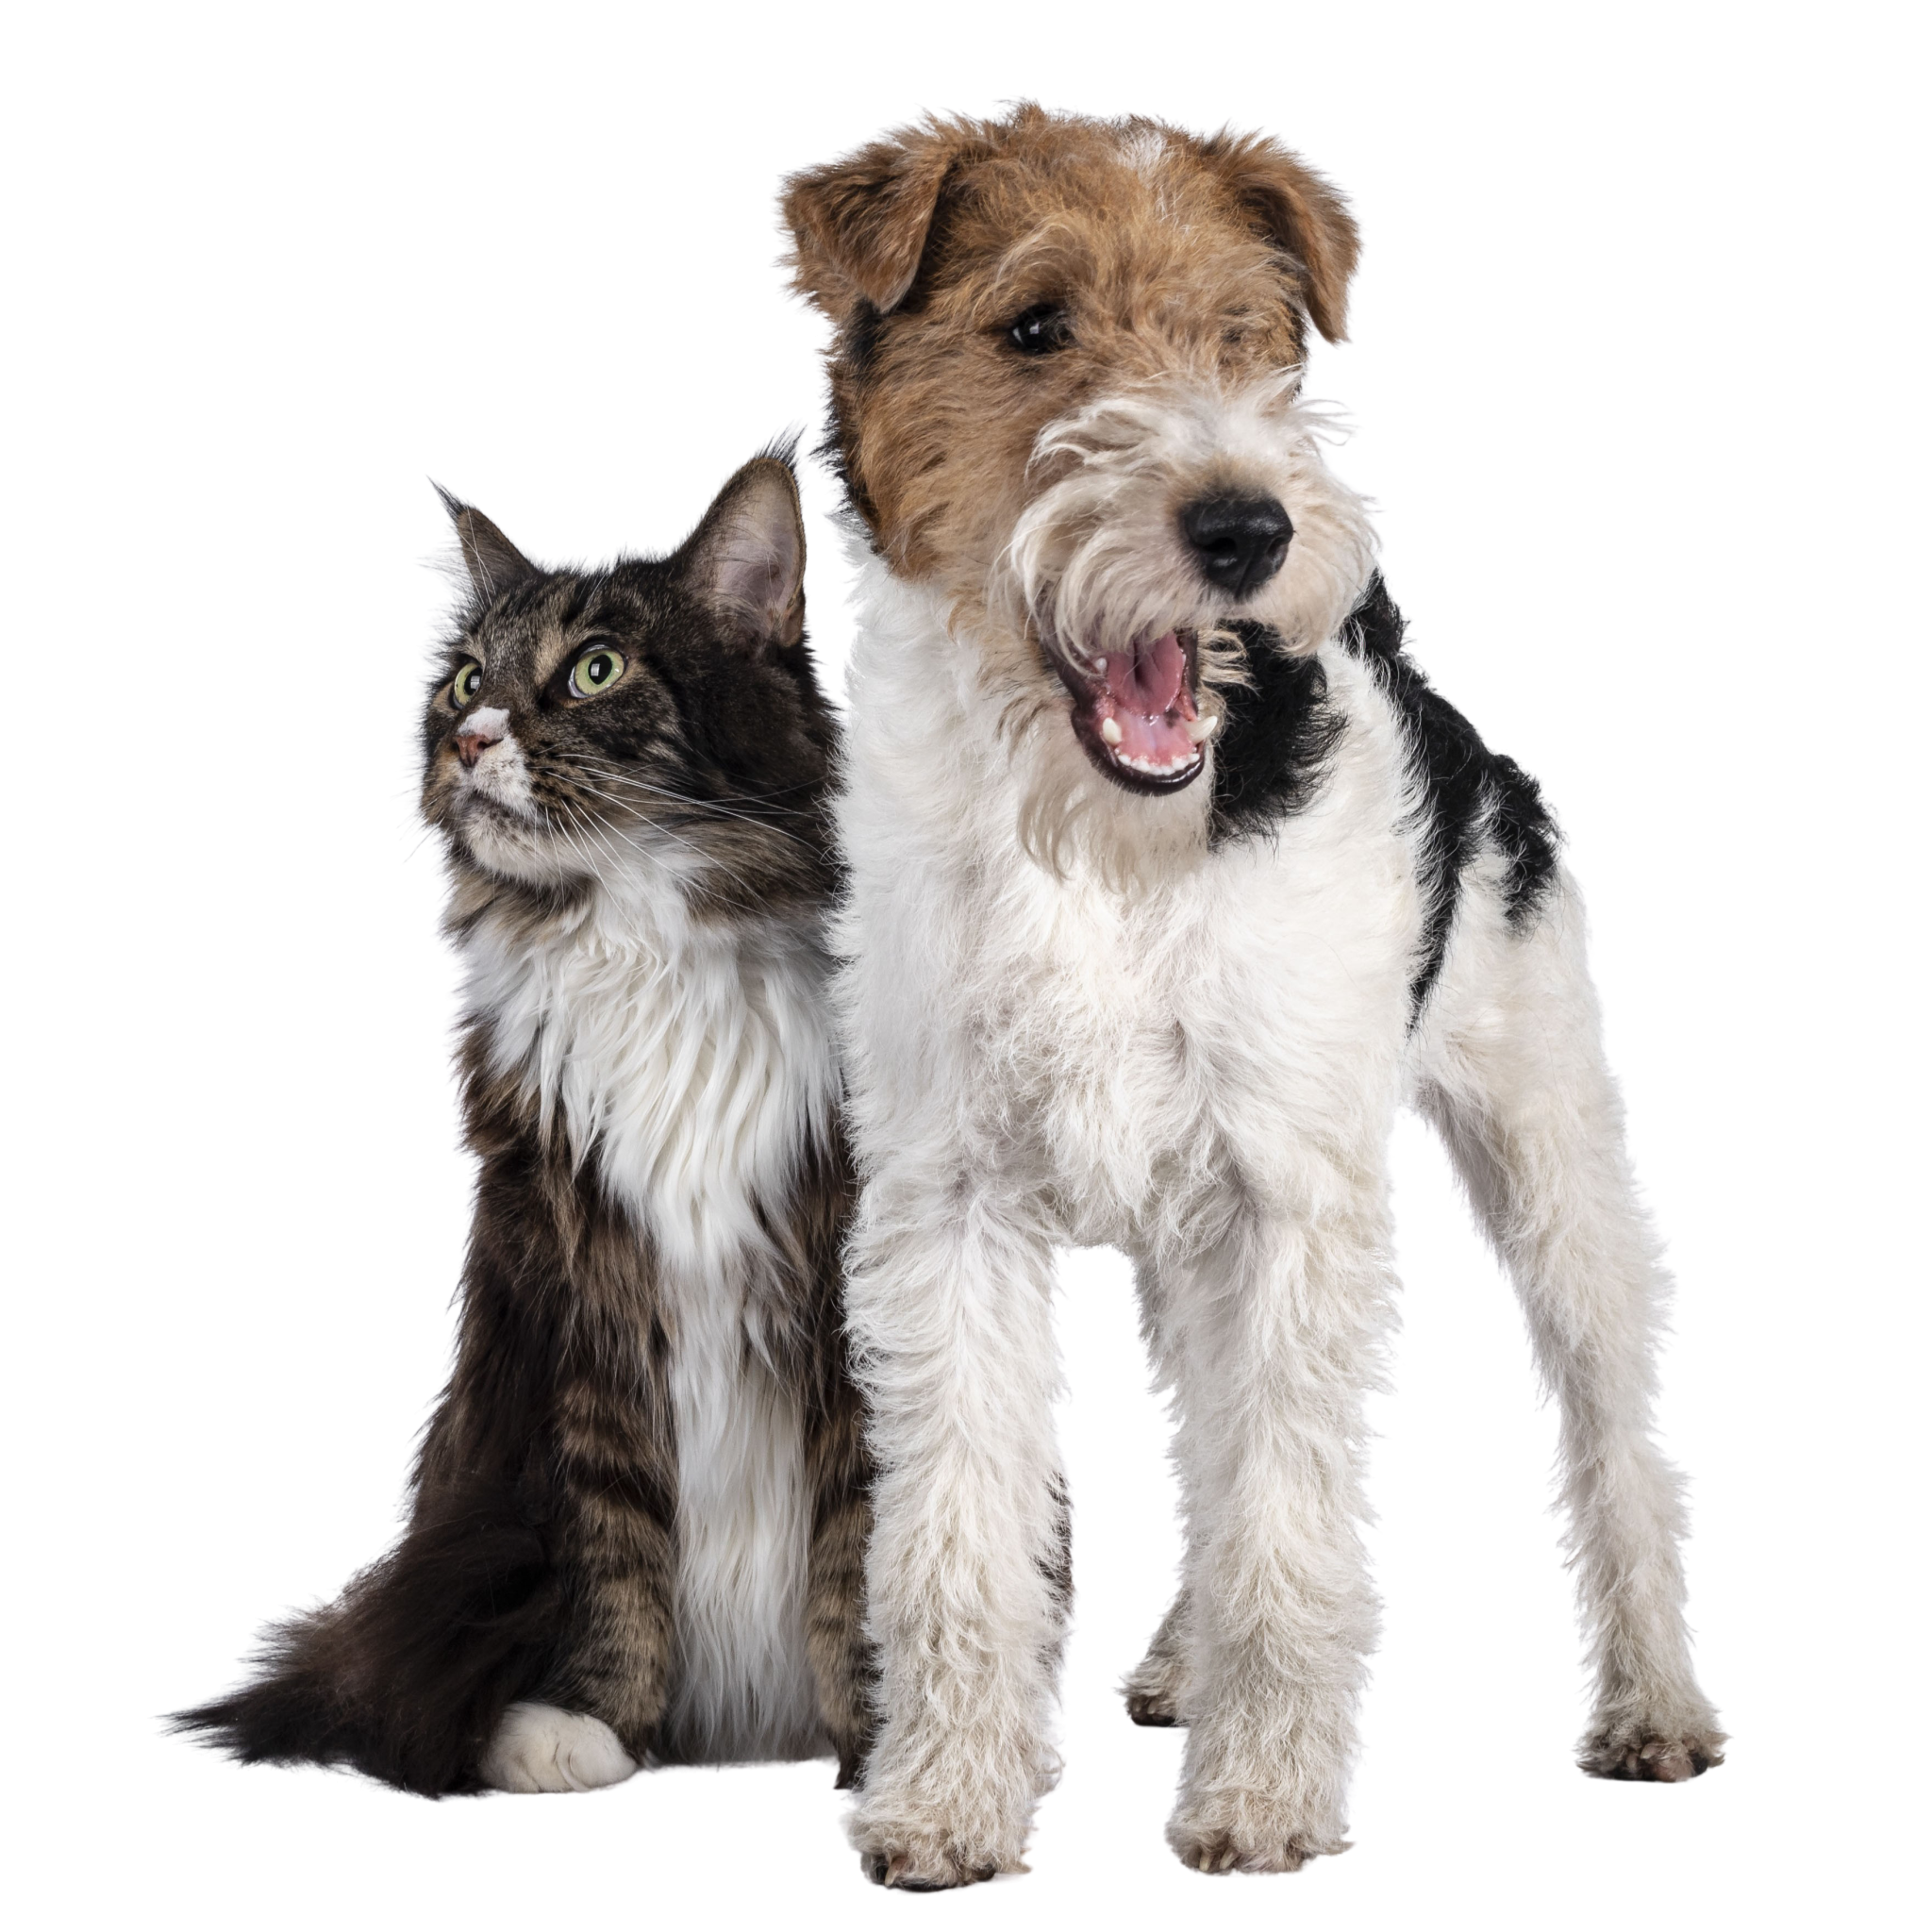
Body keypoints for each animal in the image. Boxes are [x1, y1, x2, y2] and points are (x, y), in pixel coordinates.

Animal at [160, 428, 872, 1798]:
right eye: (463, 680)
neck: (645, 946)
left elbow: (870, 1542)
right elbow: (611, 1548)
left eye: (596, 670)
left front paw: (898, 1750)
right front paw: (583, 1726)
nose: (470, 737)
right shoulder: (575, 1286)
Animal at [771, 99, 1729, 1887]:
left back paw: (1652, 1706)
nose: (1245, 528)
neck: (1101, 847)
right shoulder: (947, 1204)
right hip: (1179, 1235)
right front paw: (946, 1804)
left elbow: (1289, 1531)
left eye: (1246, 339)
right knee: (1197, 1442)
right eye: (1033, 327)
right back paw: (1169, 1665)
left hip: (1552, 1158)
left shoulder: (1291, 1198)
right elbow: (960, 1538)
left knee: (1616, 1447)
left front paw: (1265, 1800)